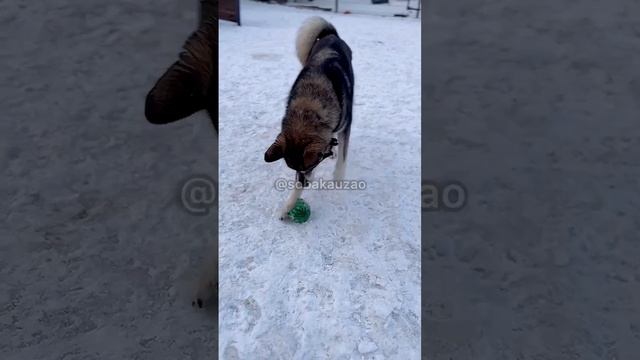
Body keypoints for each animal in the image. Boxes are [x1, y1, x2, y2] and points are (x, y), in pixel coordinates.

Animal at [264, 16, 356, 219]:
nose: (305, 182)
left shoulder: (346, 125)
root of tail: (331, 35)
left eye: (314, 162)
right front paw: (288, 206)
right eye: (296, 170)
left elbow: (343, 156)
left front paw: (338, 179)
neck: (309, 106)